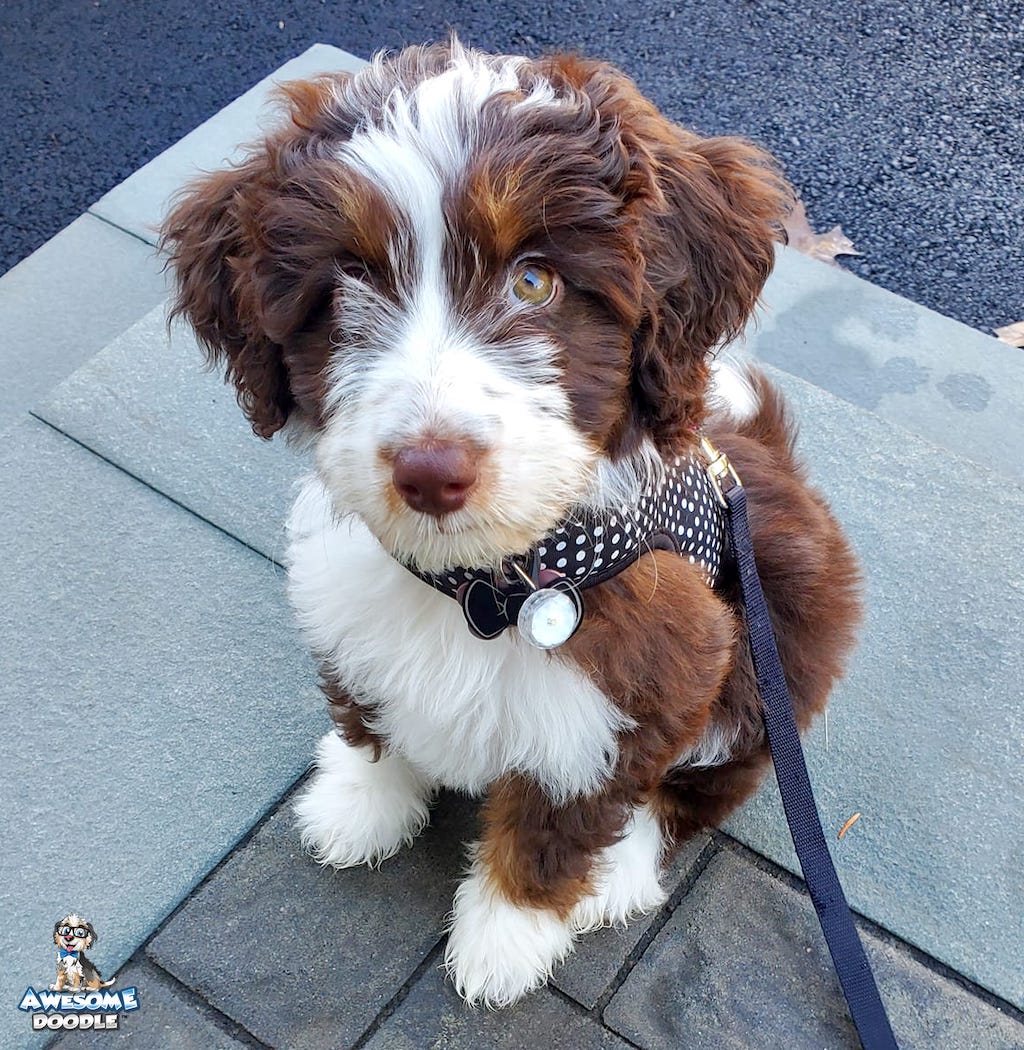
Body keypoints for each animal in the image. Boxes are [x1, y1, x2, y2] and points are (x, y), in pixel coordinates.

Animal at [163, 38, 861, 1007]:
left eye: (534, 280)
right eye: (347, 287)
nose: (429, 470)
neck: (485, 587)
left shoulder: (649, 680)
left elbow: (559, 818)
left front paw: (506, 937)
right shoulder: (346, 610)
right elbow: (367, 711)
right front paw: (361, 802)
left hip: (775, 646)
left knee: (700, 787)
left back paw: (621, 874)